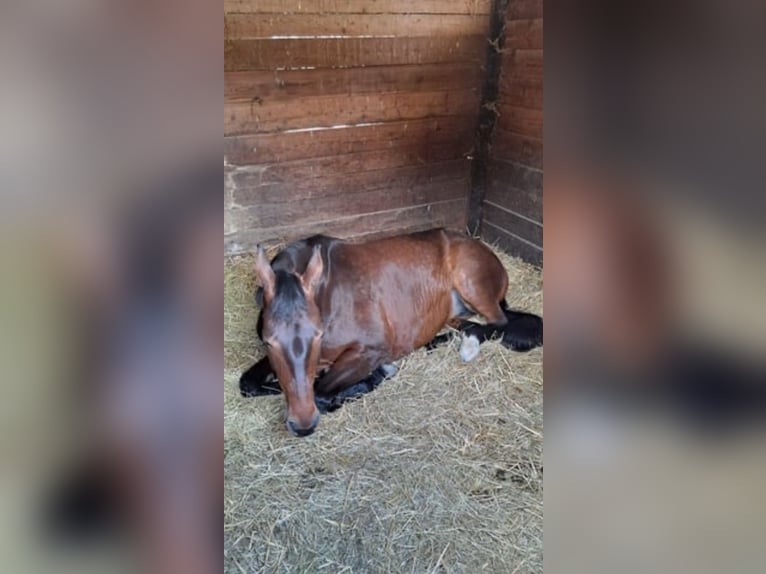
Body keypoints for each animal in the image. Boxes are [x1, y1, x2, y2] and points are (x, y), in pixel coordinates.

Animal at [237, 230, 544, 436]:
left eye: (317, 335)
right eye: (269, 342)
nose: (303, 425)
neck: (327, 294)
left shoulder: (371, 350)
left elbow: (321, 391)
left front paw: (375, 377)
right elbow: (249, 383)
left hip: (473, 285)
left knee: (498, 322)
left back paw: (467, 347)